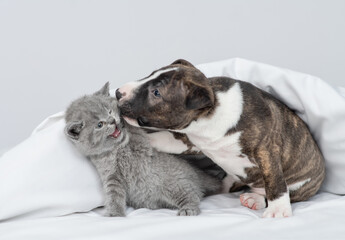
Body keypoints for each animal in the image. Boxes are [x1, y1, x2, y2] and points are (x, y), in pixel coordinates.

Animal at [117, 59, 324, 218]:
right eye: (151, 74)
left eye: (156, 93)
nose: (119, 92)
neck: (213, 108)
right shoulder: (189, 141)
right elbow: (160, 140)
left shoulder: (267, 150)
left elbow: (275, 181)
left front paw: (278, 210)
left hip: (302, 185)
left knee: (281, 191)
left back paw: (256, 199)